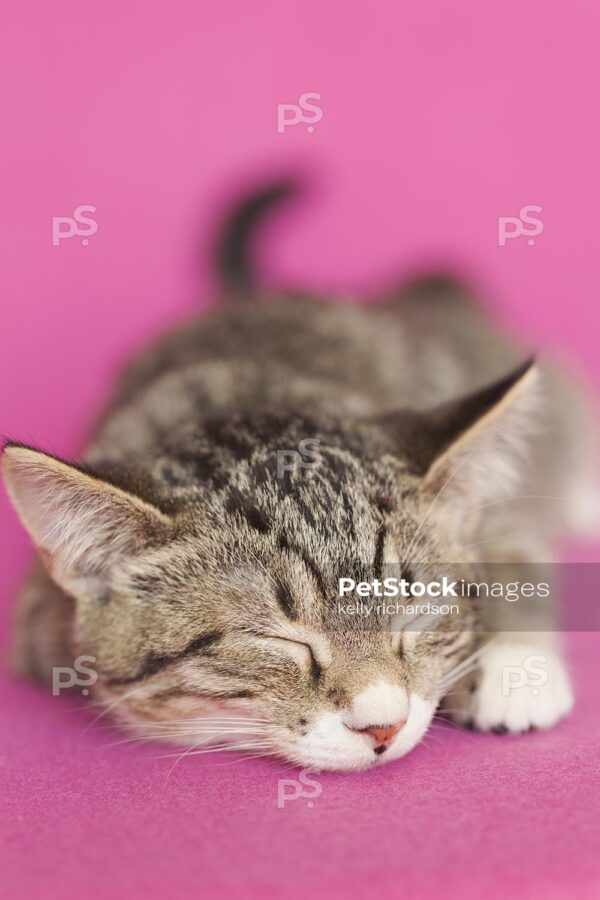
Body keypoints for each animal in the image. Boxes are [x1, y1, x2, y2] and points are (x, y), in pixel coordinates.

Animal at [2, 181, 596, 768]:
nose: (384, 725)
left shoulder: (501, 509)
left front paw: (516, 665)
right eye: (281, 641)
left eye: (414, 614)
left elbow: (517, 545)